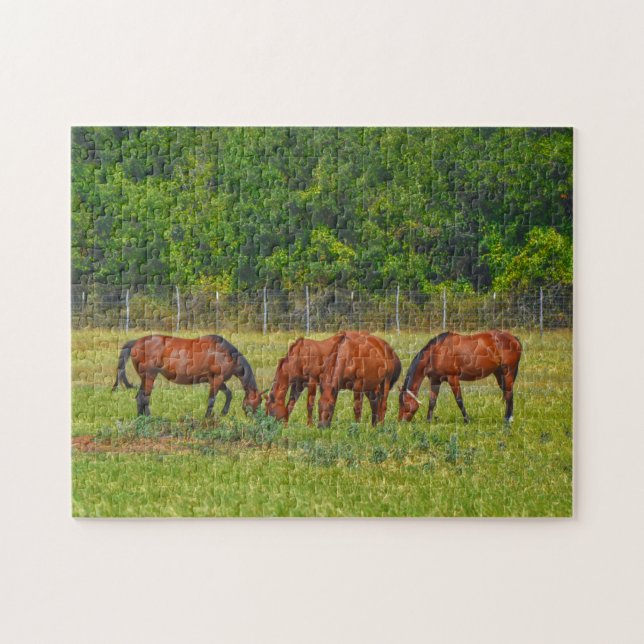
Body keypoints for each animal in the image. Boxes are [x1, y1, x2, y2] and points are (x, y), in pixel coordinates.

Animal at [111, 334, 262, 417]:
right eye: (258, 402)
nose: (257, 417)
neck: (224, 353)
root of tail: (136, 342)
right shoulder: (217, 380)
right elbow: (211, 400)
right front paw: (207, 417)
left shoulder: (215, 380)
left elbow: (229, 394)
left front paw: (223, 413)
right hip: (150, 377)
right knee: (145, 398)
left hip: (145, 378)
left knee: (139, 398)